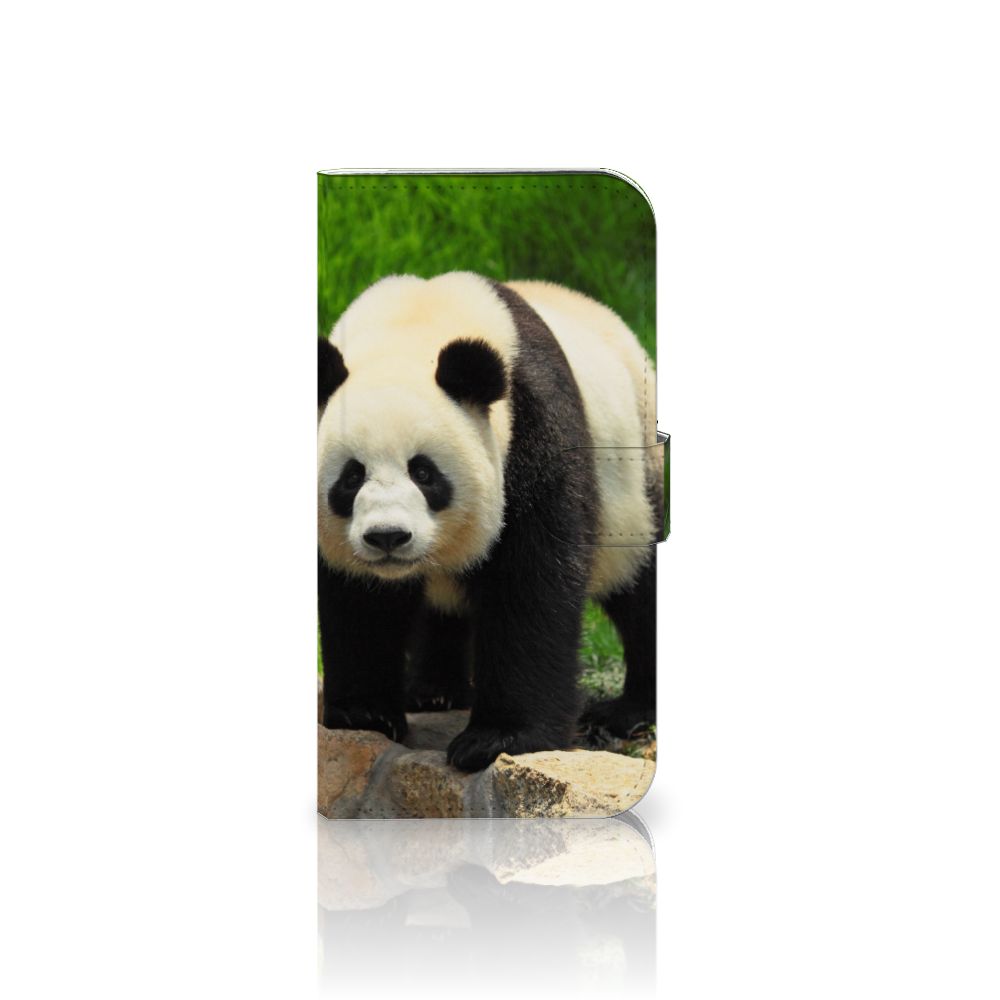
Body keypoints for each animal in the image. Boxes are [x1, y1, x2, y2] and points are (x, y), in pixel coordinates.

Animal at [318, 272, 661, 773]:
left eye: (424, 473)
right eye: (351, 476)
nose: (388, 537)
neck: (411, 328)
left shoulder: (531, 427)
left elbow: (531, 582)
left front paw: (498, 738)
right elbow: (358, 598)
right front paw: (364, 713)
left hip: (634, 482)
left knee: (638, 585)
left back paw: (627, 711)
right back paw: (434, 691)